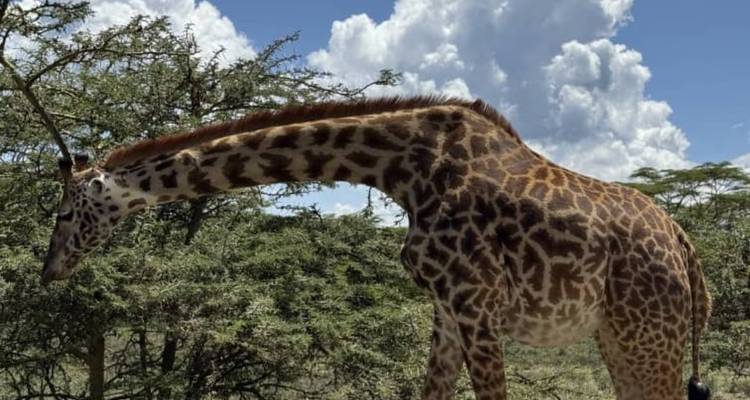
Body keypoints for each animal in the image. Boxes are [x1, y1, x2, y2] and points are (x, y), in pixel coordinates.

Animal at [42, 96, 711, 400]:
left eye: (66, 212)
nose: (49, 271)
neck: (407, 170)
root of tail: (685, 245)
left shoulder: (476, 305)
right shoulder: (447, 310)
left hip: (649, 334)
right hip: (619, 337)